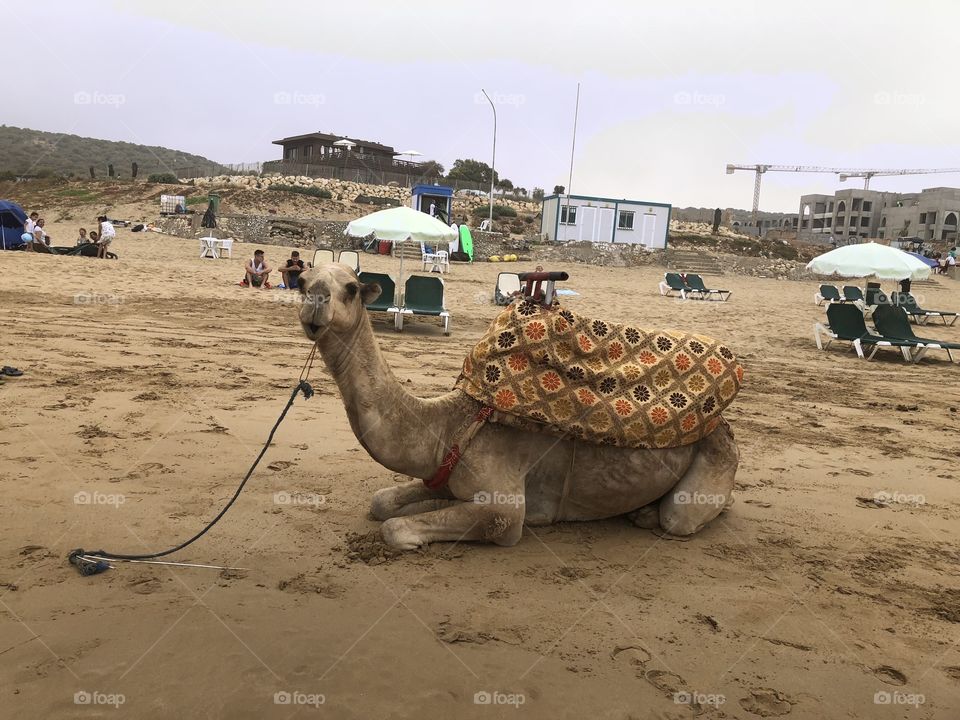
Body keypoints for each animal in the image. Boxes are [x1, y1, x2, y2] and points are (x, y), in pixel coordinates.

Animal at [297, 264, 739, 550]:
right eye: (301, 281)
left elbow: (396, 528)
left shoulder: (506, 511)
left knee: (681, 517)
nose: (315, 302)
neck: (446, 427)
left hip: (714, 461)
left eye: (352, 288)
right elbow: (383, 503)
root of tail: (723, 425)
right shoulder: (445, 474)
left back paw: (651, 515)